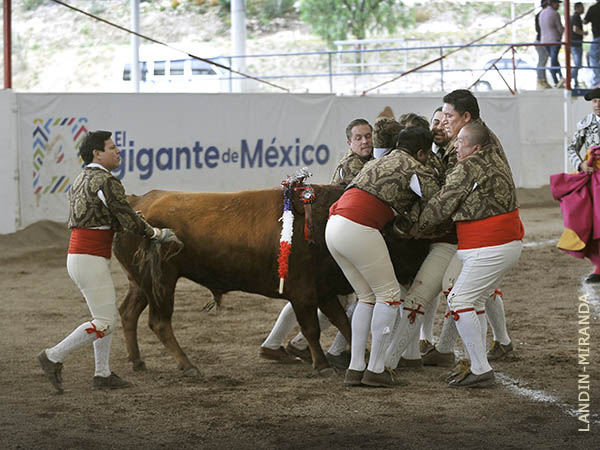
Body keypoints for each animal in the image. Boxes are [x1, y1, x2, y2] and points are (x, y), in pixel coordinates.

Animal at [112, 183, 428, 376]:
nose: (422, 263)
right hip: (162, 282)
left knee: (128, 312)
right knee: (159, 322)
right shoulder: (303, 294)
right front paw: (322, 365)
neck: (321, 223)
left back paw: (137, 361)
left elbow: (344, 323)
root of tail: (138, 202)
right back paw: (187, 365)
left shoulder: (324, 292)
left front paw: (359, 353)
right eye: (406, 241)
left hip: (140, 282)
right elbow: (312, 328)